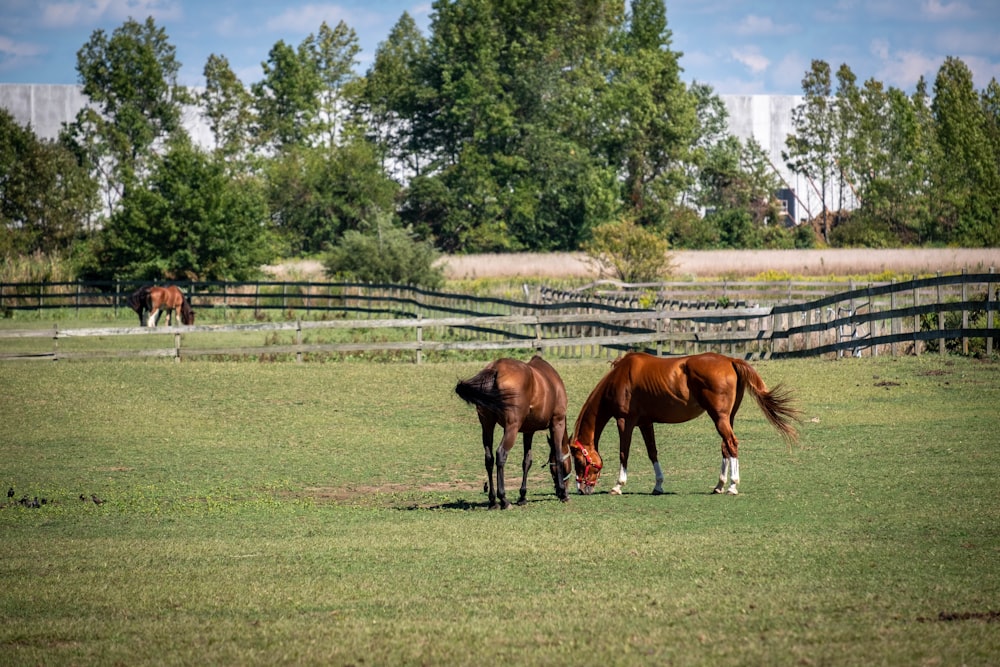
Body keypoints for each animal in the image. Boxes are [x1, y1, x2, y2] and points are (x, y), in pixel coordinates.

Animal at [456, 358, 572, 508]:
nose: (564, 488)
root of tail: (496, 368)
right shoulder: (557, 423)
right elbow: (558, 456)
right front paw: (563, 493)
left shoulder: (528, 431)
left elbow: (527, 461)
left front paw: (522, 496)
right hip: (512, 427)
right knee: (501, 454)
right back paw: (503, 499)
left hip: (487, 425)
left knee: (489, 458)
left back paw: (493, 500)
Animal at [572, 352, 796, 498]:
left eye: (579, 461)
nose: (581, 489)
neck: (620, 377)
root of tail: (730, 360)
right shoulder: (645, 423)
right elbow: (652, 452)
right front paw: (658, 485)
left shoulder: (624, 421)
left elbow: (623, 453)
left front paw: (618, 485)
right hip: (727, 417)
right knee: (726, 446)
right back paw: (719, 485)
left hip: (719, 417)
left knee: (731, 444)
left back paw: (733, 485)